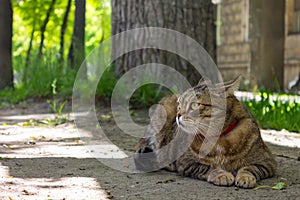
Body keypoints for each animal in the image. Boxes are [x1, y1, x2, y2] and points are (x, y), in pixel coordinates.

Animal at [136, 76, 276, 188]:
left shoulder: (267, 162)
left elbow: (249, 167)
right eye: (179, 105)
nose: (178, 114)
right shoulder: (187, 162)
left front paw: (245, 177)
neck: (219, 138)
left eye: (194, 105)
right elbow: (208, 167)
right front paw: (221, 174)